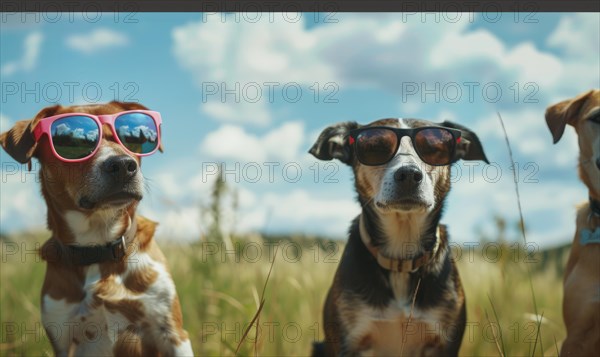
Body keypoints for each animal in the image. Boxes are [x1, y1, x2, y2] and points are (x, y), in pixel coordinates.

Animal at [308, 116, 490, 354]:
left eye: (434, 147)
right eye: (375, 146)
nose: (409, 175)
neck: (401, 259)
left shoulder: (443, 342)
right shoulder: (346, 341)